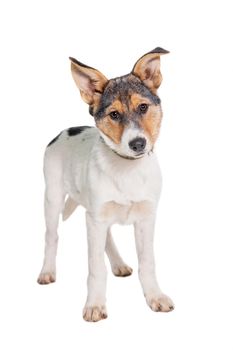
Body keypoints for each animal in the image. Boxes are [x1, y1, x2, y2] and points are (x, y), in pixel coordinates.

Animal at [37, 47, 174, 322]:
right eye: (114, 114)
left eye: (143, 107)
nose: (138, 144)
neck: (127, 168)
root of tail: (65, 131)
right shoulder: (95, 219)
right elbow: (95, 267)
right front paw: (95, 305)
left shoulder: (145, 218)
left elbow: (147, 262)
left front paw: (155, 297)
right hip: (53, 197)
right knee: (51, 236)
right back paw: (47, 271)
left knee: (107, 237)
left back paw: (119, 264)